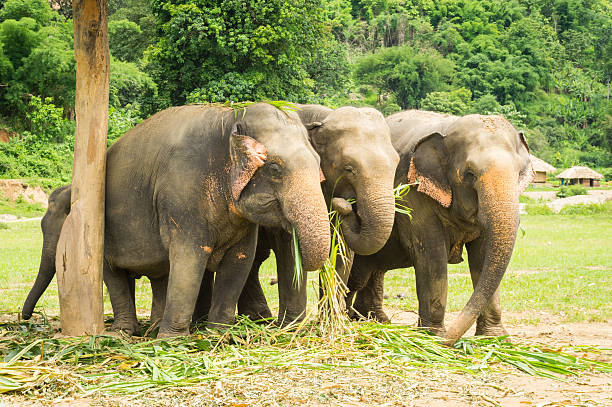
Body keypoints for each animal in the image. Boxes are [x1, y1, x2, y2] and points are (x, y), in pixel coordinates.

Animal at [21, 103, 332, 338]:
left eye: (319, 164)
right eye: (275, 169)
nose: (27, 319)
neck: (229, 117)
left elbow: (239, 262)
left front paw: (218, 335)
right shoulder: (182, 191)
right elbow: (189, 258)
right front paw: (172, 342)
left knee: (159, 275)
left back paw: (153, 327)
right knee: (114, 273)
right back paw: (126, 332)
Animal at [227, 105, 400, 326]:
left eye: (396, 164)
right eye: (348, 168)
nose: (346, 205)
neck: (323, 117)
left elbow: (342, 250)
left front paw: (331, 323)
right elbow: (289, 245)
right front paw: (293, 326)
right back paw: (260, 319)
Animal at [346, 110, 532, 346]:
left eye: (519, 173)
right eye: (470, 174)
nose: (449, 341)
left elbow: (483, 257)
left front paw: (494, 340)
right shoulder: (413, 192)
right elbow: (432, 256)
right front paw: (432, 337)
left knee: (374, 268)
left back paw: (375, 322)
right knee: (359, 272)